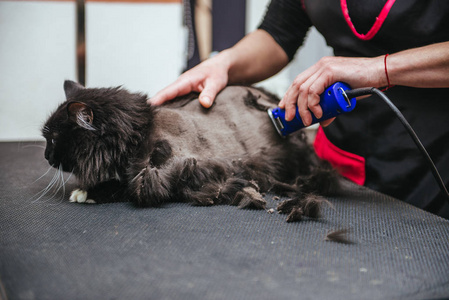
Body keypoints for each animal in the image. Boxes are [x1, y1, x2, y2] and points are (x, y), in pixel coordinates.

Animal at [42, 81, 338, 221]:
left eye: (53, 140)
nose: (46, 157)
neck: (139, 131)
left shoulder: (163, 174)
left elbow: (125, 187)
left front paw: (85, 193)